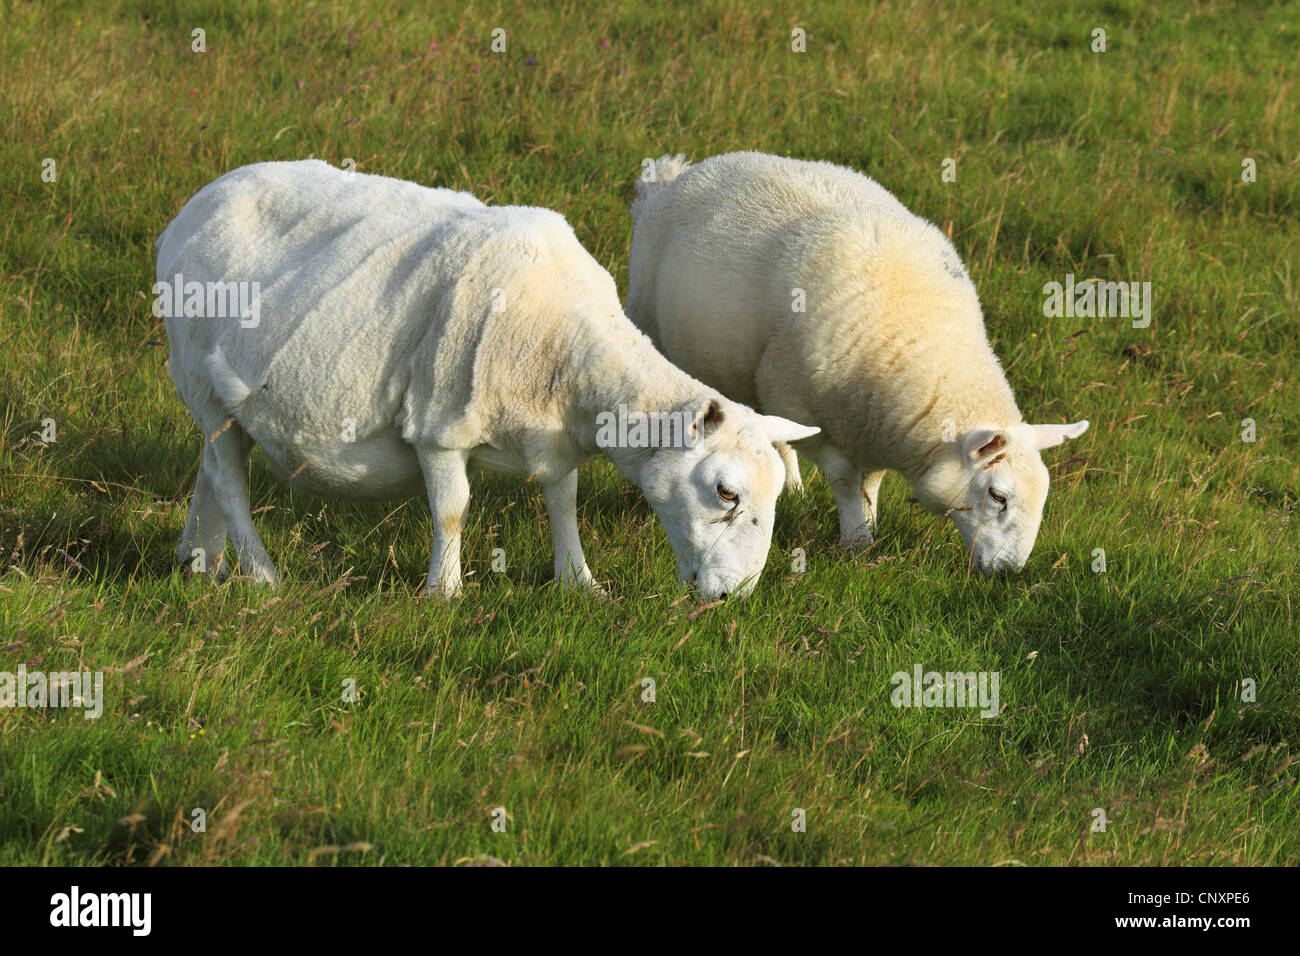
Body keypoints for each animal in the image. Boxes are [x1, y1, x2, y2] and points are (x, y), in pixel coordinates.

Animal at [157, 161, 816, 600]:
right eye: (726, 493)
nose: (732, 597)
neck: (568, 352)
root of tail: (195, 205)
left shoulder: (558, 434)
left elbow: (563, 502)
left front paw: (580, 584)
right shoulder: (440, 427)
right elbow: (453, 510)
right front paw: (443, 594)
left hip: (220, 398)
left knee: (212, 468)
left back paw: (200, 559)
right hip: (197, 376)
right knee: (229, 478)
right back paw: (261, 574)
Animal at [626, 151, 1086, 574]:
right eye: (998, 496)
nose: (1010, 572)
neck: (919, 345)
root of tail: (680, 175)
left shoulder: (875, 426)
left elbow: (870, 482)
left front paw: (868, 523)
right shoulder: (805, 410)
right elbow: (846, 479)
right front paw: (856, 541)